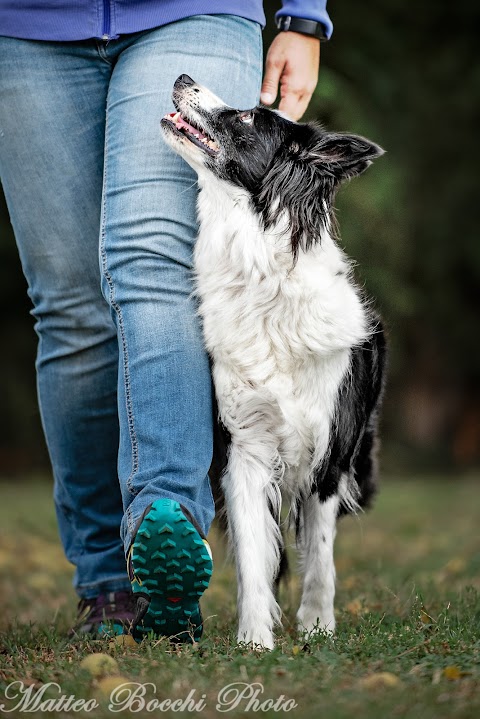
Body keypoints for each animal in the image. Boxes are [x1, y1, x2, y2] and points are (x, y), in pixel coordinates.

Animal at [161, 76, 386, 648]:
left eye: (246, 118)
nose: (182, 78)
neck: (263, 279)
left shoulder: (330, 452)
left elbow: (321, 556)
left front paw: (318, 627)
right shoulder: (244, 446)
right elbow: (253, 554)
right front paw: (254, 639)